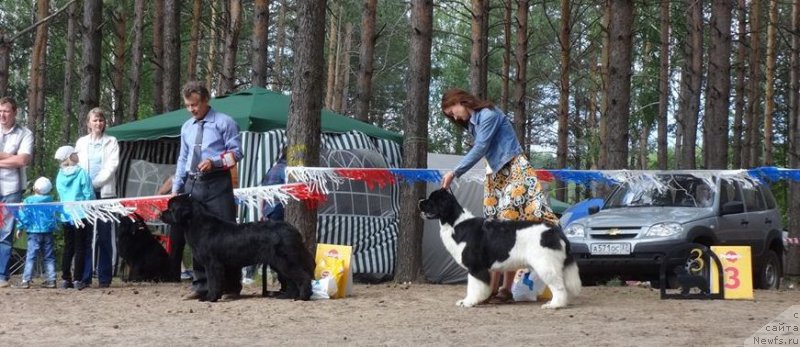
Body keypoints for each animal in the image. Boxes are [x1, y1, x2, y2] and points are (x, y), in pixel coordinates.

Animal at [159, 194, 316, 304]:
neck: (197, 224)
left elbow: (213, 281)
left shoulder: (213, 264)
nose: (160, 214)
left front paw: (210, 298)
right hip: (278, 263)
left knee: (302, 277)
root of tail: (293, 230)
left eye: (171, 208)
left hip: (285, 260)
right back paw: (288, 296)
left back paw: (302, 297)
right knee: (291, 280)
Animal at [418, 190, 580, 310]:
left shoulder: (476, 267)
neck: (455, 224)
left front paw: (469, 302)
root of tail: (556, 231)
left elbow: (473, 286)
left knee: (559, 286)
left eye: (432, 200)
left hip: (545, 264)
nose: (420, 202)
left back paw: (555, 304)